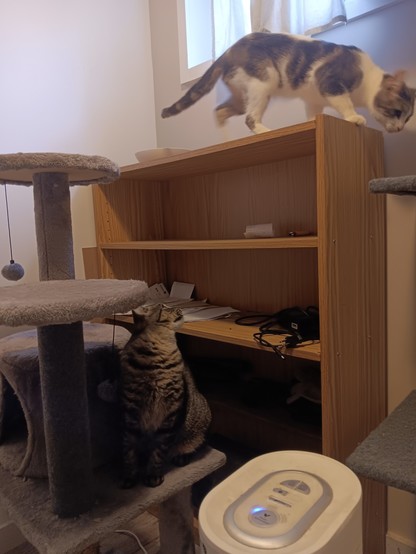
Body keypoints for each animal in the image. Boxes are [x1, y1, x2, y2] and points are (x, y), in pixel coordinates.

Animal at [119, 302, 211, 488]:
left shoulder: (170, 416)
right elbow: (129, 449)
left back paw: (181, 457)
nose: (180, 309)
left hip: (199, 423)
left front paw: (153, 475)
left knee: (196, 444)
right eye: (164, 306)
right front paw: (130, 475)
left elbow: (159, 451)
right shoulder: (130, 413)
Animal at [161, 32, 414, 134]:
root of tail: (228, 51)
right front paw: (354, 117)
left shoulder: (314, 100)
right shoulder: (329, 81)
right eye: (396, 112)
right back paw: (264, 131)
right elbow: (345, 104)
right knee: (250, 119)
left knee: (220, 111)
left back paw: (225, 135)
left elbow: (314, 116)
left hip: (243, 96)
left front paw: (311, 124)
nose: (401, 129)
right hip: (264, 82)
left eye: (407, 118)